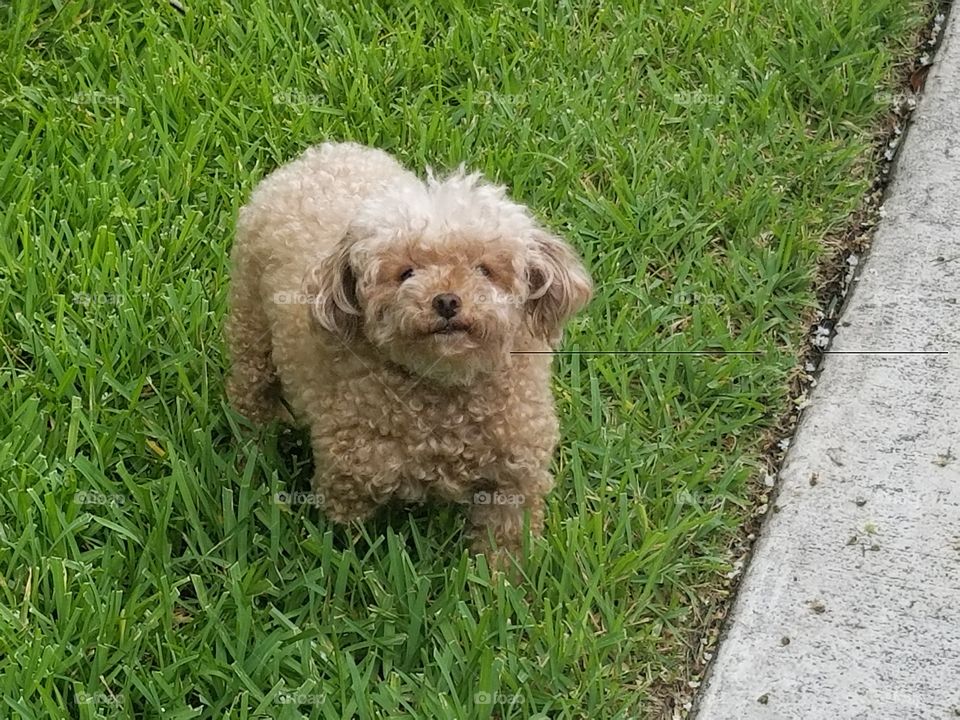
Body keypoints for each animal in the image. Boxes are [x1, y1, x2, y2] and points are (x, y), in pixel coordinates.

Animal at [227, 142, 592, 568]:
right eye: (406, 273)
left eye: (484, 270)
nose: (447, 300)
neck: (444, 390)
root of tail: (323, 152)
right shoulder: (348, 479)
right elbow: (346, 544)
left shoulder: (515, 477)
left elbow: (506, 542)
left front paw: (500, 579)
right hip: (249, 317)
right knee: (250, 383)